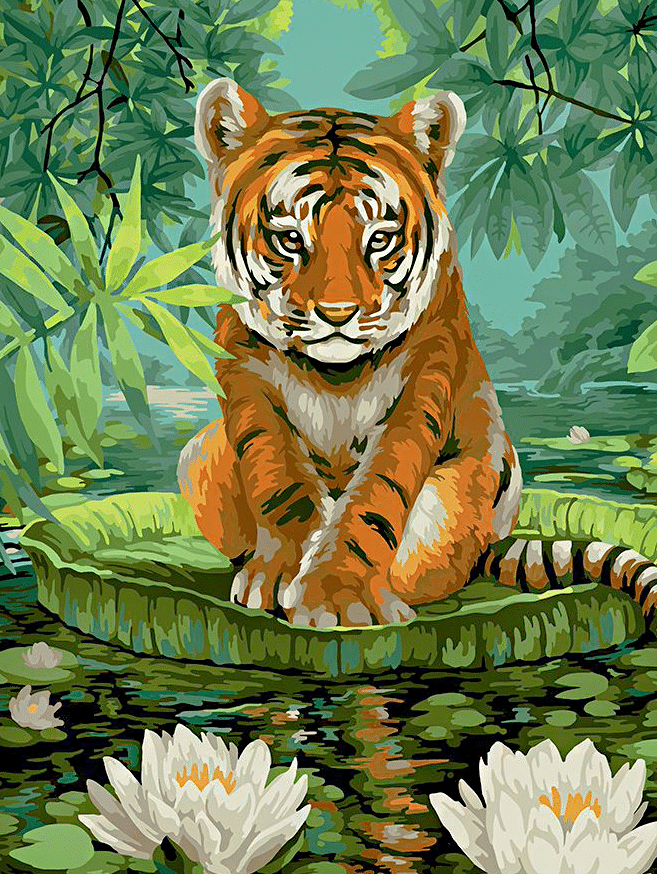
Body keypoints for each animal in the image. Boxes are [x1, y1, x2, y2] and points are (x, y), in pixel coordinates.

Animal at [177, 77, 657, 629]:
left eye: (379, 239)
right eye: (291, 238)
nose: (338, 314)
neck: (334, 374)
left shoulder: (424, 380)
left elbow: (377, 493)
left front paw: (337, 598)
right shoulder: (248, 380)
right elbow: (279, 481)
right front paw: (276, 578)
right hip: (196, 452)